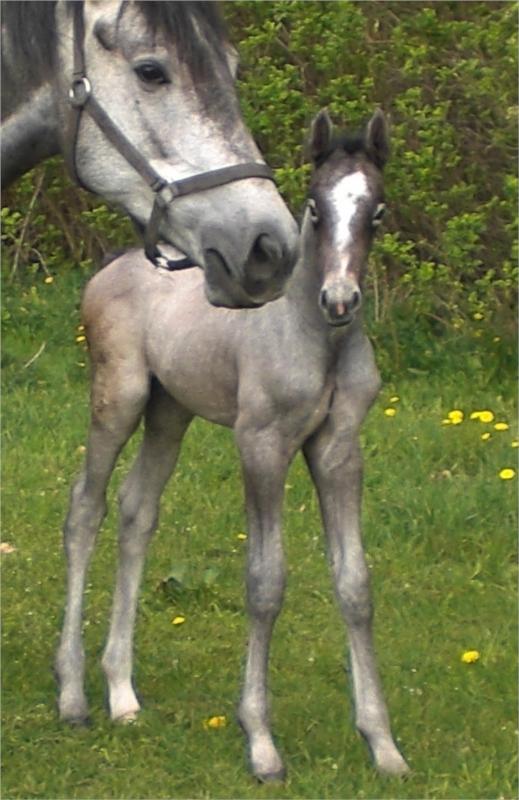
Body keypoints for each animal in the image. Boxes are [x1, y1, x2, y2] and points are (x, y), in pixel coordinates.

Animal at [53, 109, 410, 780]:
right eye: (315, 207)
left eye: (375, 211)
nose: (339, 299)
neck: (315, 339)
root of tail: (112, 268)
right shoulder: (261, 443)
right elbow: (265, 584)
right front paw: (261, 742)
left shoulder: (339, 448)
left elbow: (355, 585)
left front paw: (382, 743)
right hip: (120, 395)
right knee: (86, 507)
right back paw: (72, 694)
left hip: (170, 411)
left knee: (137, 511)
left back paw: (122, 693)